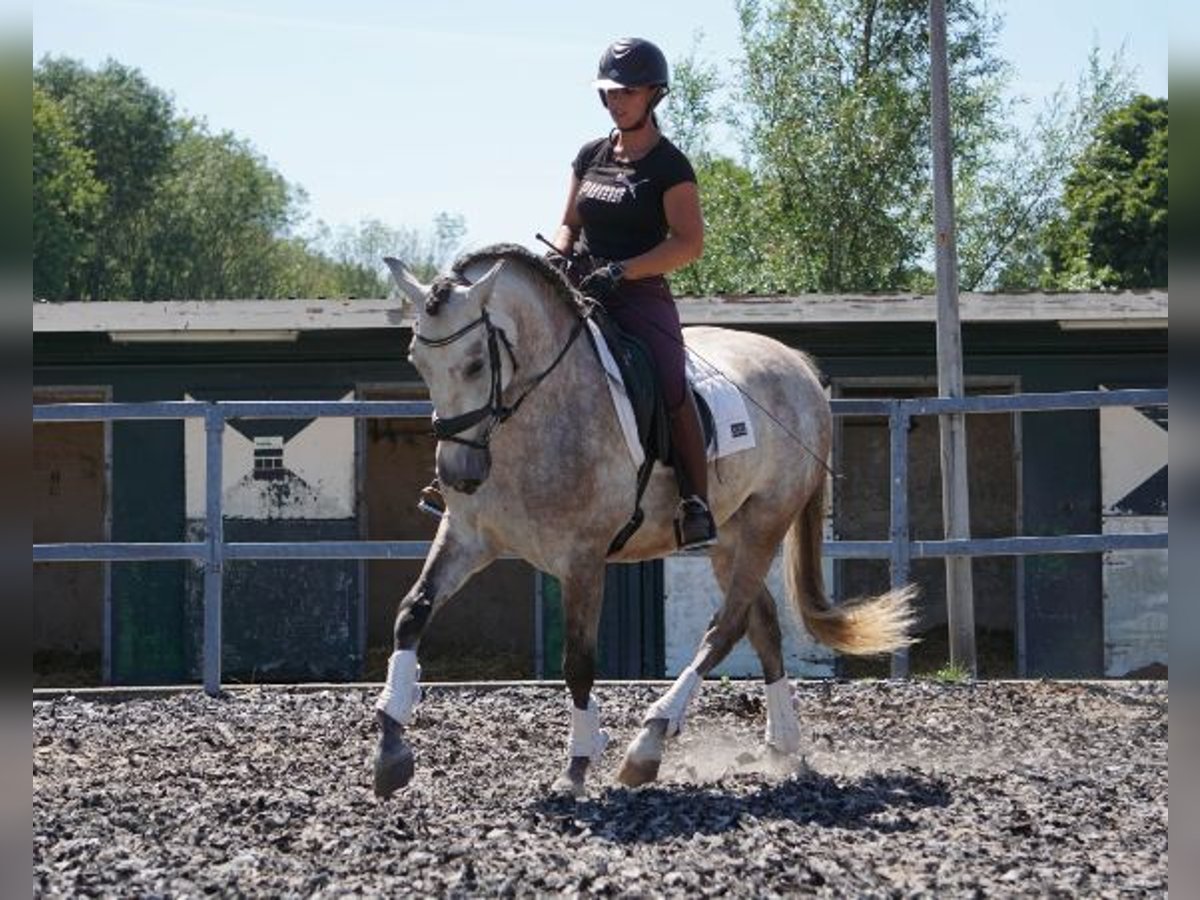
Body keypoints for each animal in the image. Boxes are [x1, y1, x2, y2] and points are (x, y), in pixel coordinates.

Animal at [369, 243, 912, 801]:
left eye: (477, 362)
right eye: (416, 362)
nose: (458, 474)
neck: (534, 414)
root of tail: (797, 366)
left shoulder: (583, 560)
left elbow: (578, 662)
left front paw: (577, 765)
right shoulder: (467, 538)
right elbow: (412, 612)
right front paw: (390, 747)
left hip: (767, 519)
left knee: (726, 625)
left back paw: (649, 742)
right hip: (729, 535)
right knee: (761, 622)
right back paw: (784, 747)